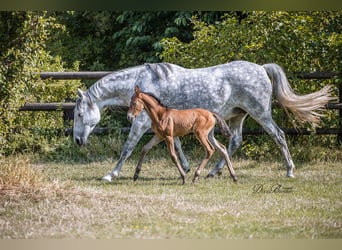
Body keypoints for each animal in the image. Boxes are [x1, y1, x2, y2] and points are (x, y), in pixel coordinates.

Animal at [73, 60, 334, 182]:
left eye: (78, 114)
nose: (77, 140)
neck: (143, 83)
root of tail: (261, 68)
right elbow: (177, 144)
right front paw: (187, 167)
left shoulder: (141, 123)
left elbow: (127, 148)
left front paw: (111, 174)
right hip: (238, 116)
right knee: (234, 142)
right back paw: (213, 172)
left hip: (260, 113)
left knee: (278, 135)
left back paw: (290, 171)